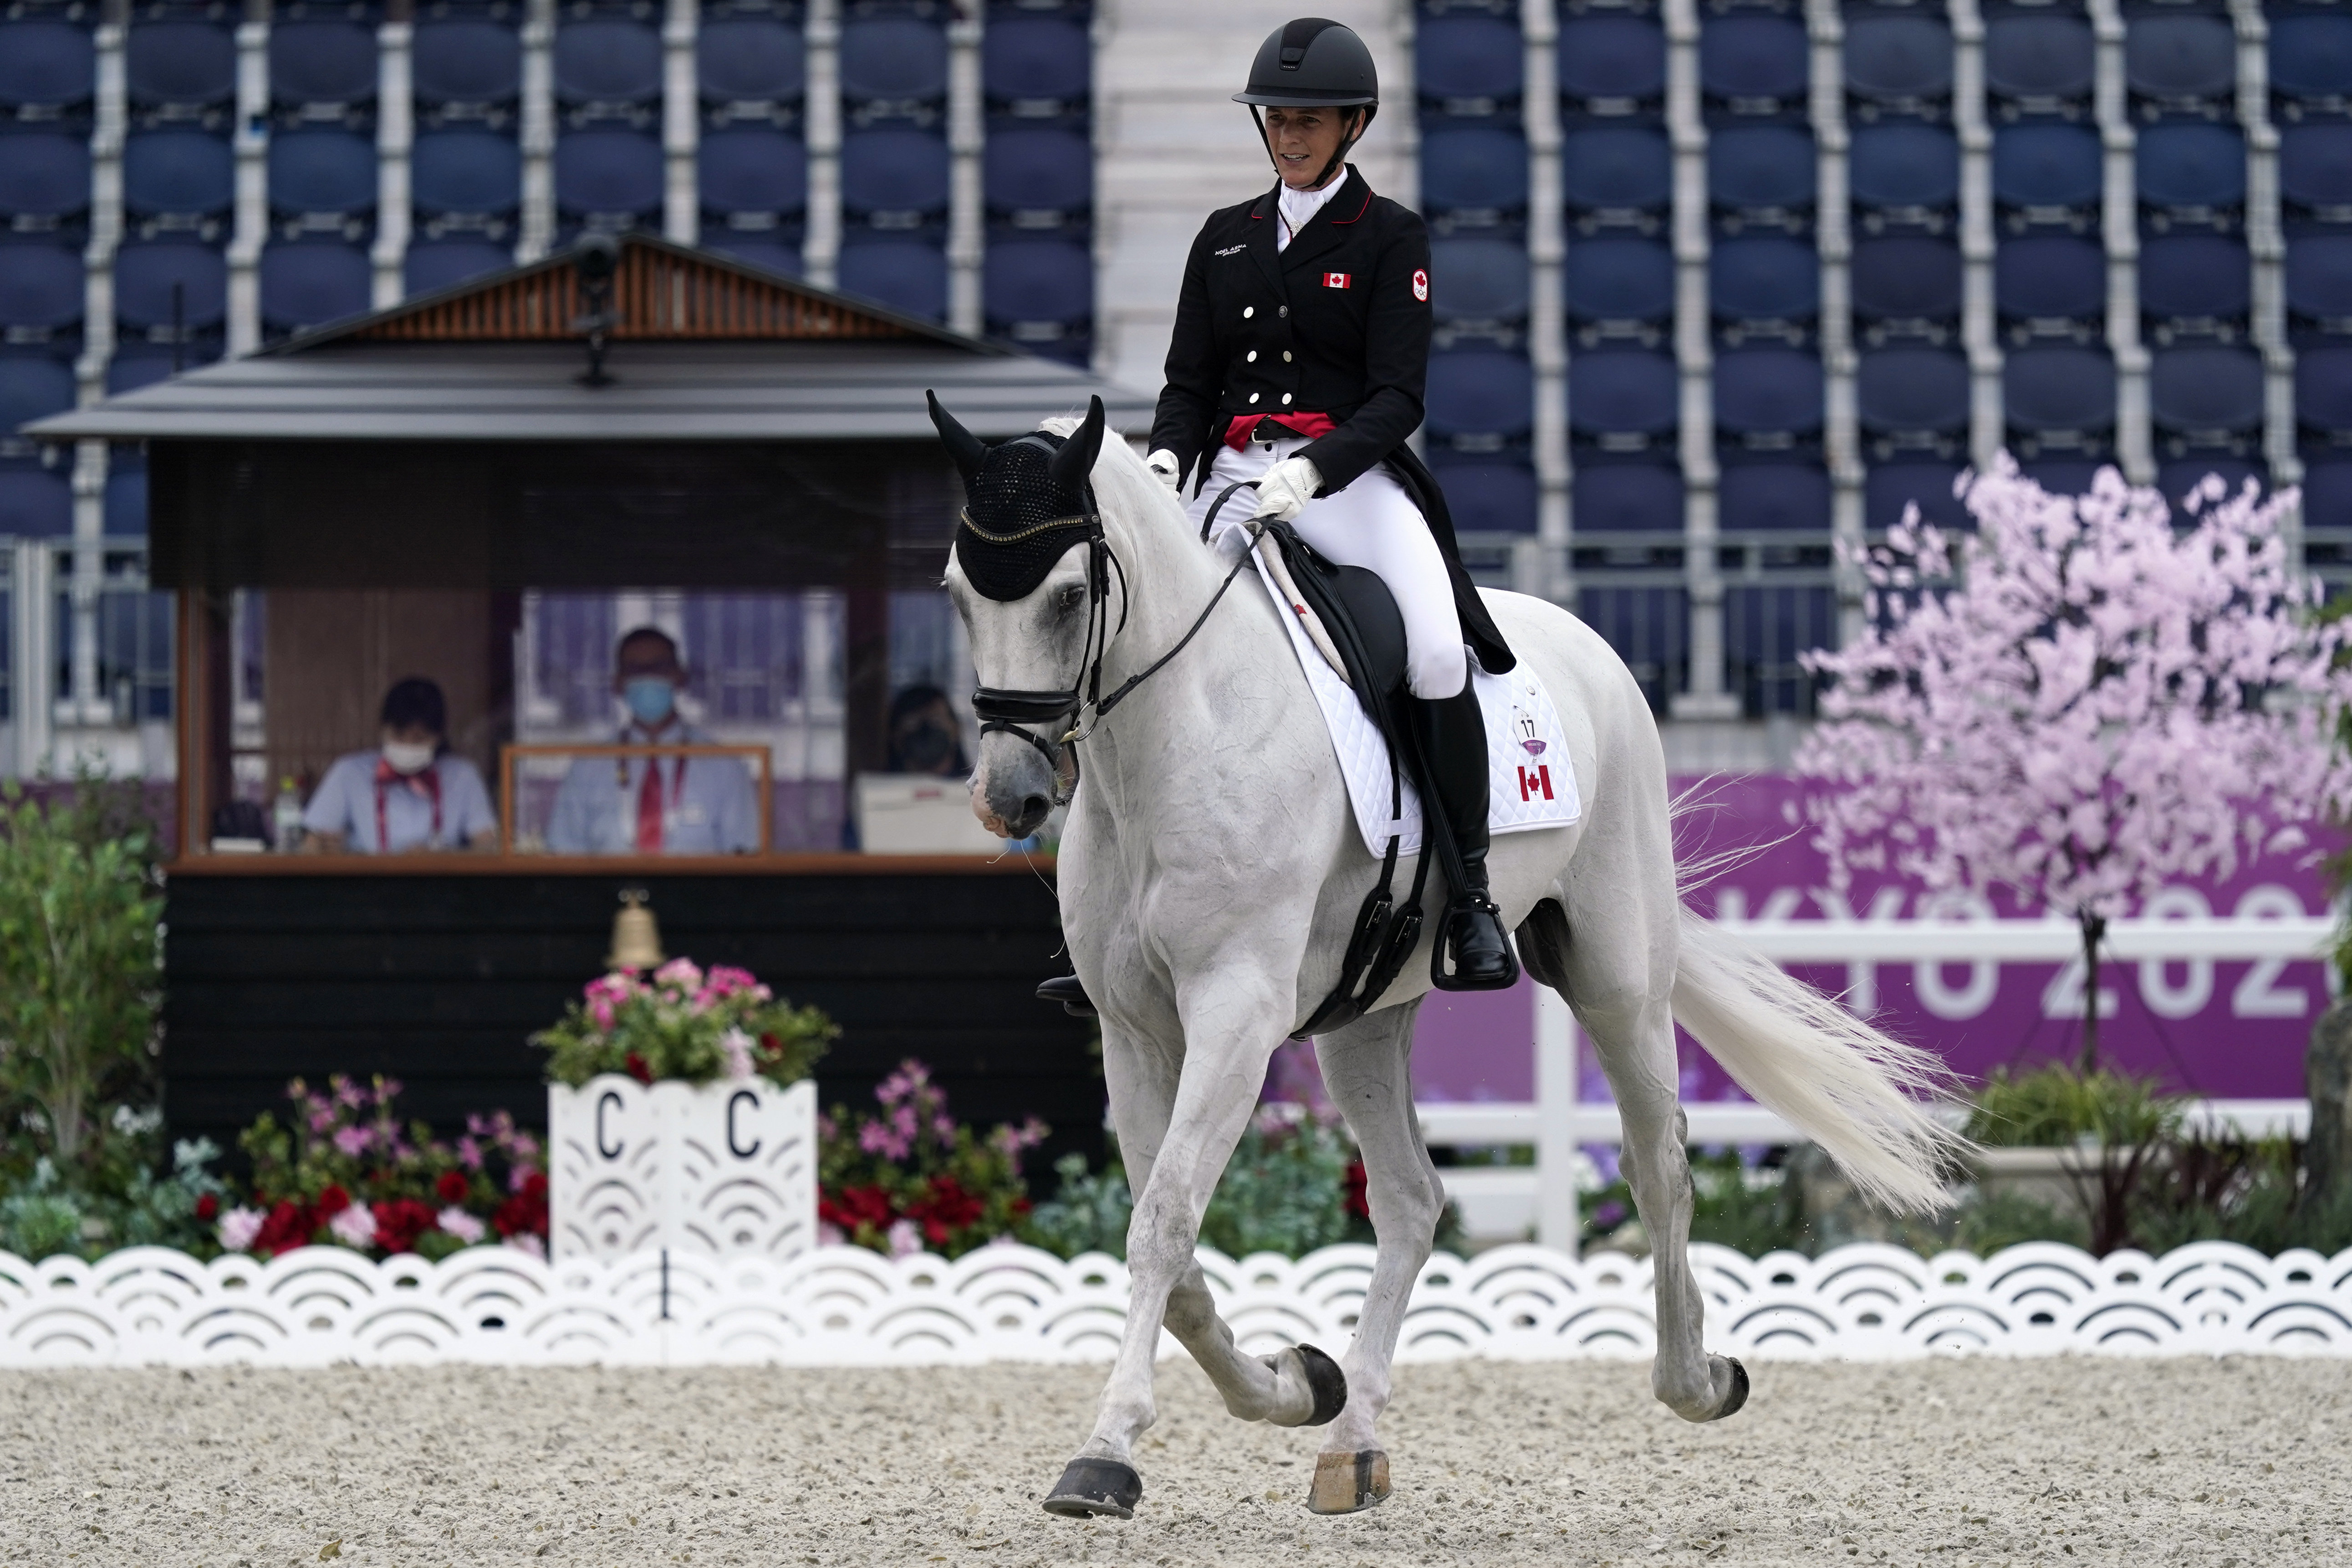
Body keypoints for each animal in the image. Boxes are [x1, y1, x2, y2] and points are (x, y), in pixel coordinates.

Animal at [936, 402, 1966, 1523]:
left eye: (1071, 594)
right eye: (955, 593)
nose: (1008, 796)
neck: (1182, 733)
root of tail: (1584, 641)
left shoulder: (1234, 1015)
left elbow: (1164, 1220)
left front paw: (1107, 1450)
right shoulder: (1136, 1030)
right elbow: (1169, 1240)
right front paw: (1289, 1381)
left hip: (1617, 977)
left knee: (1659, 1166)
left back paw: (1695, 1379)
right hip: (1362, 1015)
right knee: (1412, 1199)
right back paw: (1349, 1436)